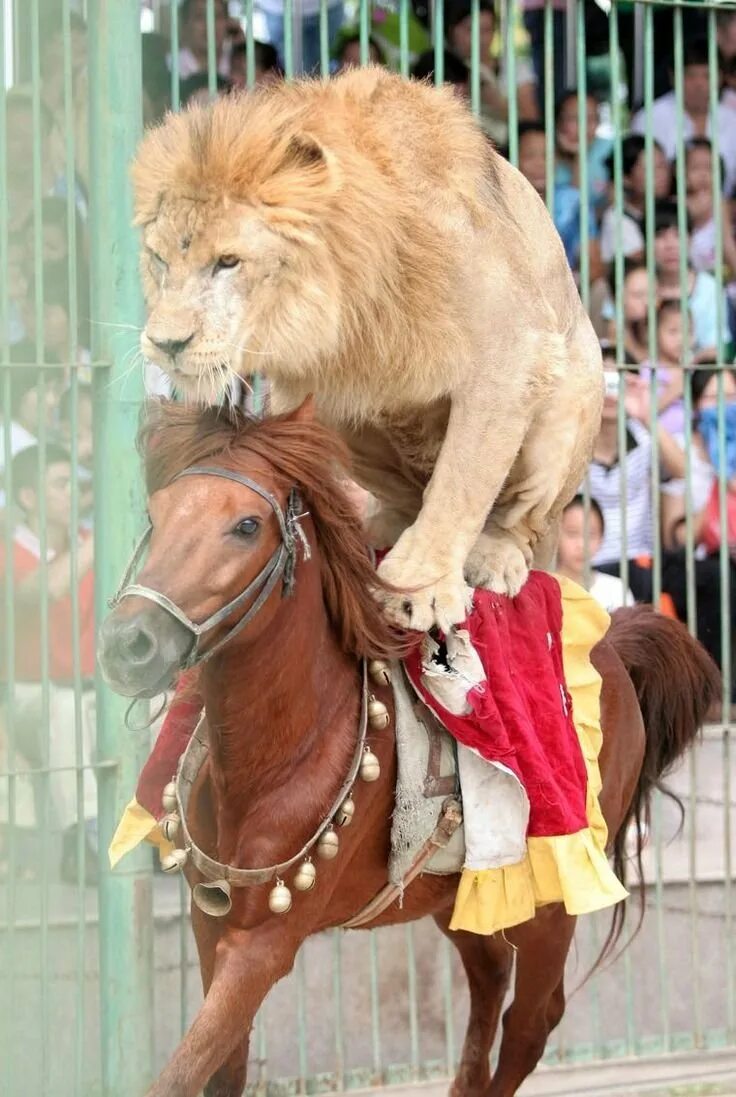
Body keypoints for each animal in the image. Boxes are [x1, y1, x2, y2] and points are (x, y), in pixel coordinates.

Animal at [96, 401, 719, 1097]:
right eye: (157, 517)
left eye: (246, 525)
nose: (129, 644)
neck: (283, 746)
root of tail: (615, 645)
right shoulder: (212, 928)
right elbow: (217, 1070)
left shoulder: (265, 943)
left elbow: (181, 1072)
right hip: (454, 892)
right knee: (488, 978)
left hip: (552, 898)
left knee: (531, 1023)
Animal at [131, 68, 605, 631]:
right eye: (159, 260)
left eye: (228, 261)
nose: (166, 343)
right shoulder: (304, 382)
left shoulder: (511, 353)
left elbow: (461, 481)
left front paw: (419, 587)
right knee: (407, 497)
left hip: (572, 402)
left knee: (516, 518)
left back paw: (494, 555)